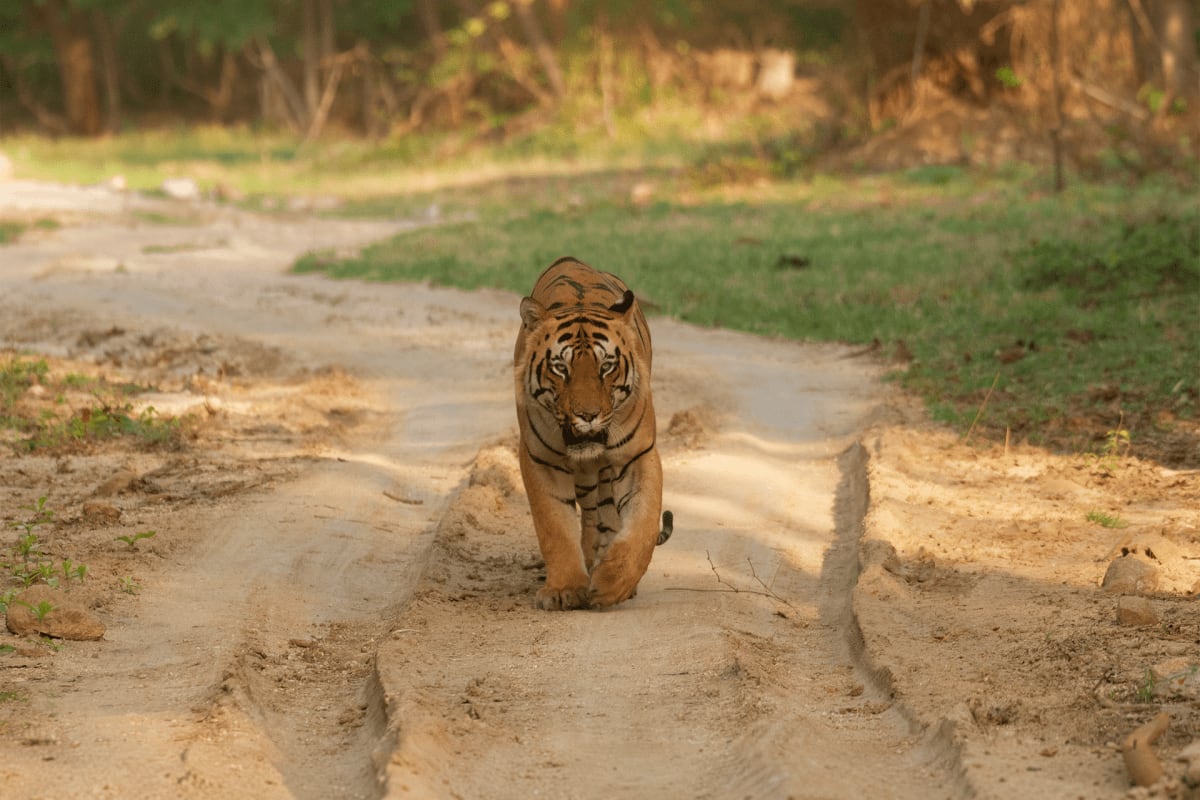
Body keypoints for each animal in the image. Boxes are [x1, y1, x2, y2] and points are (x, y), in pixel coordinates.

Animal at [514, 256, 673, 610]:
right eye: (561, 368)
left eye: (606, 367)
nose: (587, 416)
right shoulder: (540, 459)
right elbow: (555, 527)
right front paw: (565, 589)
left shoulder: (638, 454)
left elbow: (643, 524)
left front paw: (613, 584)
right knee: (589, 515)